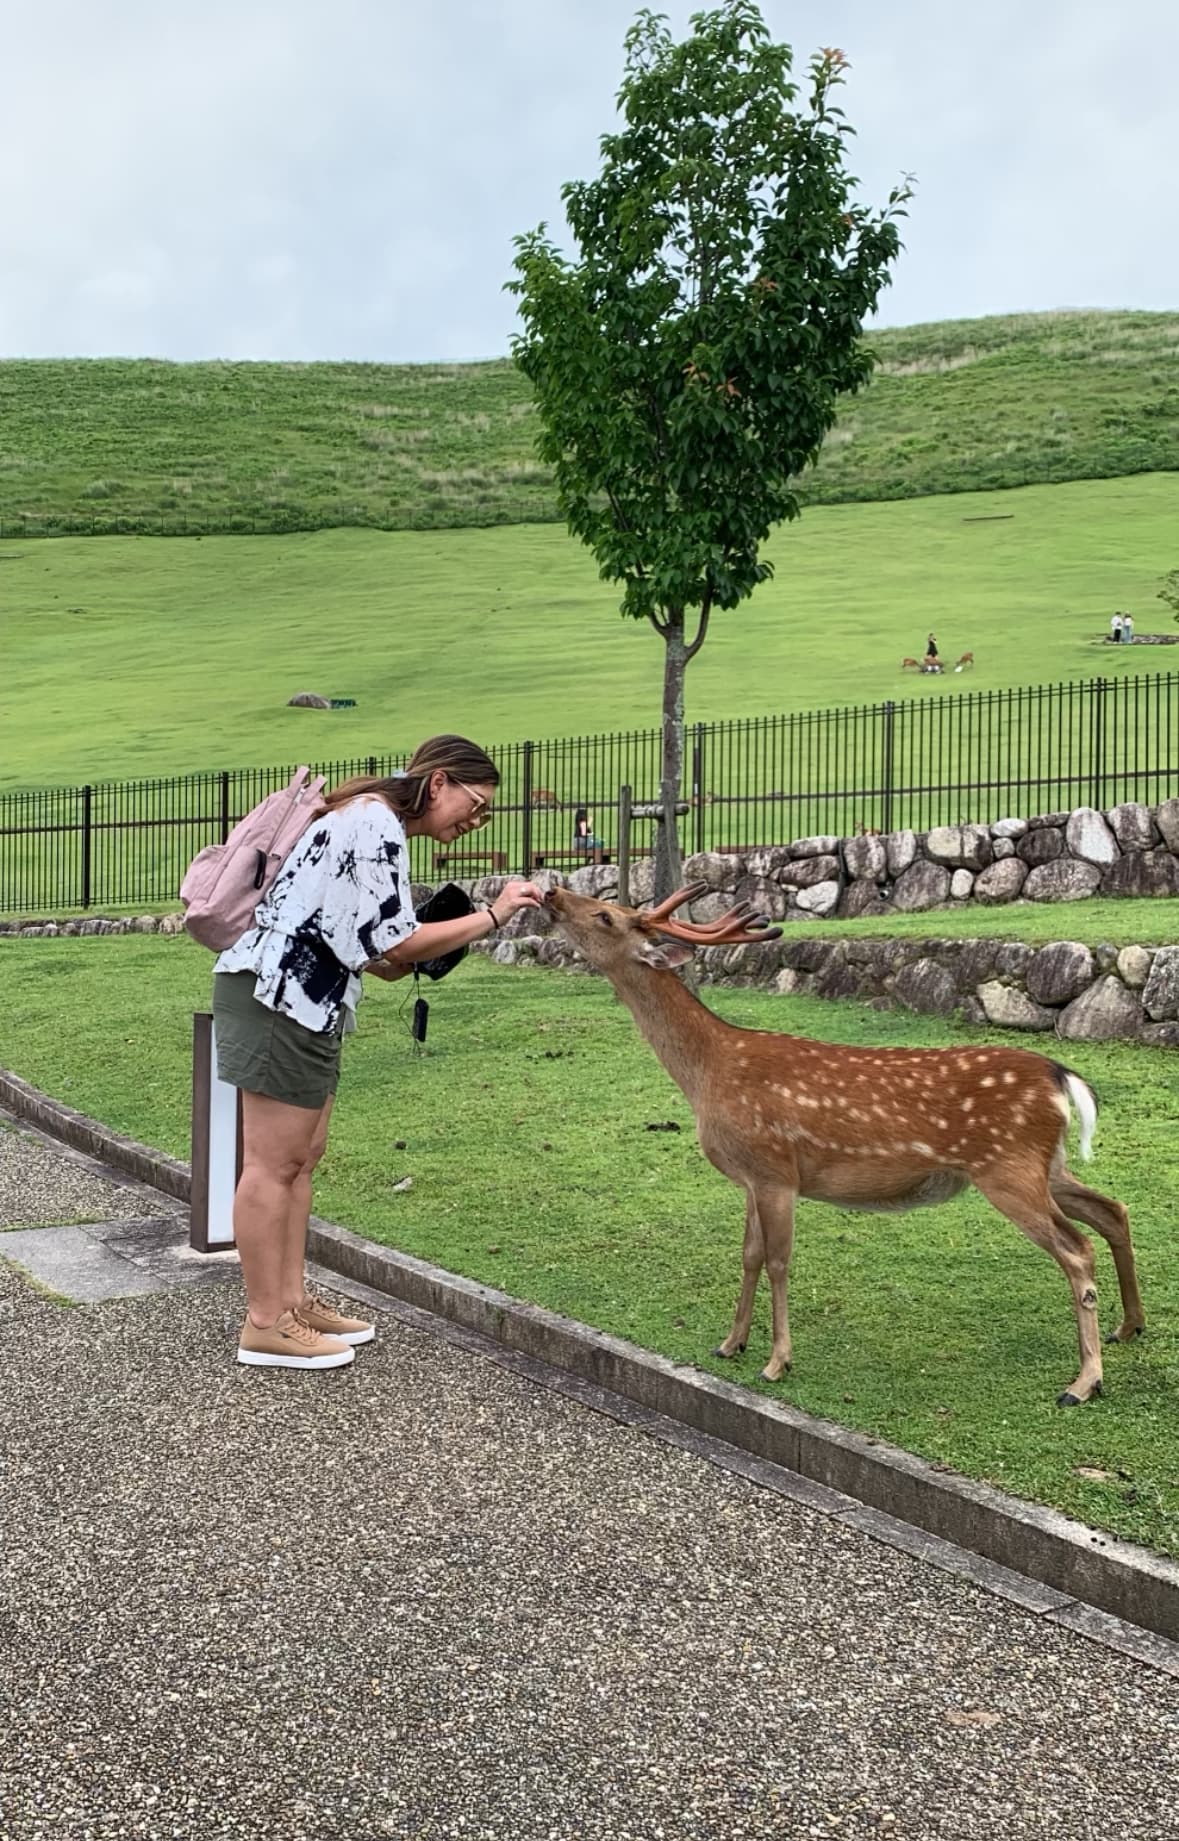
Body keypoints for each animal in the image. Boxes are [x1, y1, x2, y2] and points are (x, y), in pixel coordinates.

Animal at [544, 883, 1145, 1406]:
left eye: (605, 916)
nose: (550, 893)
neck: (709, 1072)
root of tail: (1059, 1076)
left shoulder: (777, 1170)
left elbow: (780, 1261)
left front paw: (777, 1361)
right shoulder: (751, 1177)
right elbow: (749, 1256)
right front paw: (730, 1343)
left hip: (1009, 1168)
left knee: (1077, 1249)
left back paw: (1083, 1381)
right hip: (1046, 1165)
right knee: (1113, 1208)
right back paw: (1130, 1327)